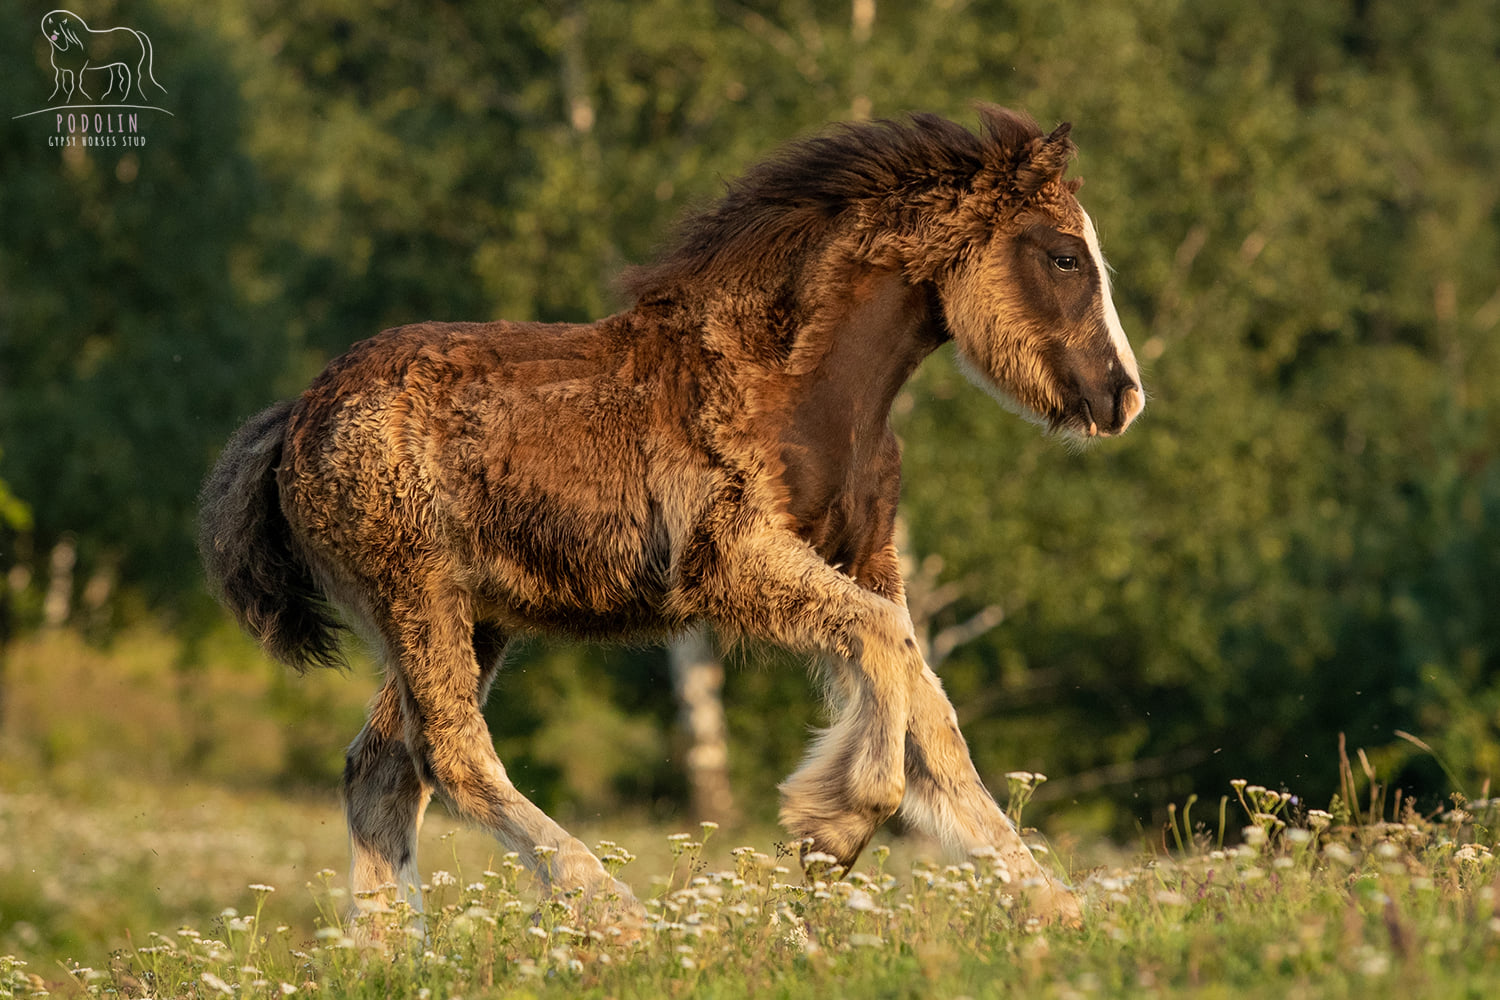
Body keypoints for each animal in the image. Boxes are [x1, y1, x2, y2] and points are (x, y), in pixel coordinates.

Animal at [199, 105, 1134, 929]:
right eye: (1062, 256)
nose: (1123, 397)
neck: (797, 388)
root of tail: (296, 417)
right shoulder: (732, 563)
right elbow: (884, 657)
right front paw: (829, 829)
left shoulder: (868, 558)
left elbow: (928, 714)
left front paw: (1052, 909)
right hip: (414, 595)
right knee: (450, 754)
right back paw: (611, 912)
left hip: (474, 615)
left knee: (382, 772)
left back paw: (397, 957)